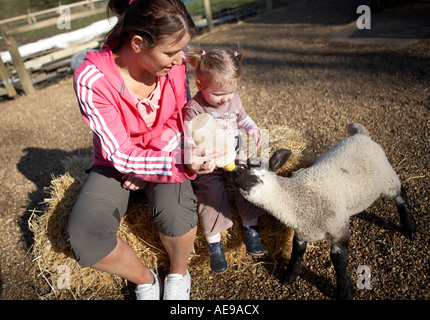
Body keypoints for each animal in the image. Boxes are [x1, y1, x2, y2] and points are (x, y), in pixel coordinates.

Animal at [232, 123, 416, 300]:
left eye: (252, 174)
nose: (233, 171)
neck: (299, 197)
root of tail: (361, 134)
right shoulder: (302, 230)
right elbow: (297, 251)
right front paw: (289, 276)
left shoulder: (338, 226)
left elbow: (339, 258)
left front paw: (345, 292)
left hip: (387, 177)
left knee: (401, 195)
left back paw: (410, 228)